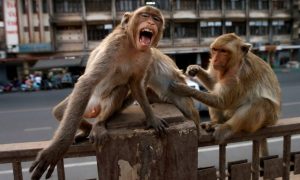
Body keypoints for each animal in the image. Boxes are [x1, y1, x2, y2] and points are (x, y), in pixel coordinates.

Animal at [30, 6, 169, 179]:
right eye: (144, 15)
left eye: (156, 19)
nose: (150, 23)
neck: (132, 46)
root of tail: (95, 106)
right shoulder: (114, 45)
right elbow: (87, 81)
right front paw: (57, 149)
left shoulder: (147, 55)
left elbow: (136, 85)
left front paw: (152, 118)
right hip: (85, 102)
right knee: (61, 110)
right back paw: (87, 129)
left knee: (121, 89)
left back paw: (98, 124)